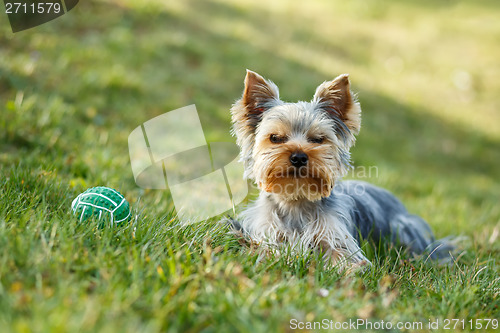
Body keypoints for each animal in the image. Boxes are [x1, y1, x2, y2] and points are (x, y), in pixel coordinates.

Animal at [229, 70, 454, 270]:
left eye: (318, 139)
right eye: (275, 138)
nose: (299, 157)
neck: (296, 199)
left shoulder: (335, 235)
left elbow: (343, 255)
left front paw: (347, 270)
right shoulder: (266, 231)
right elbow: (266, 249)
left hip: (402, 228)